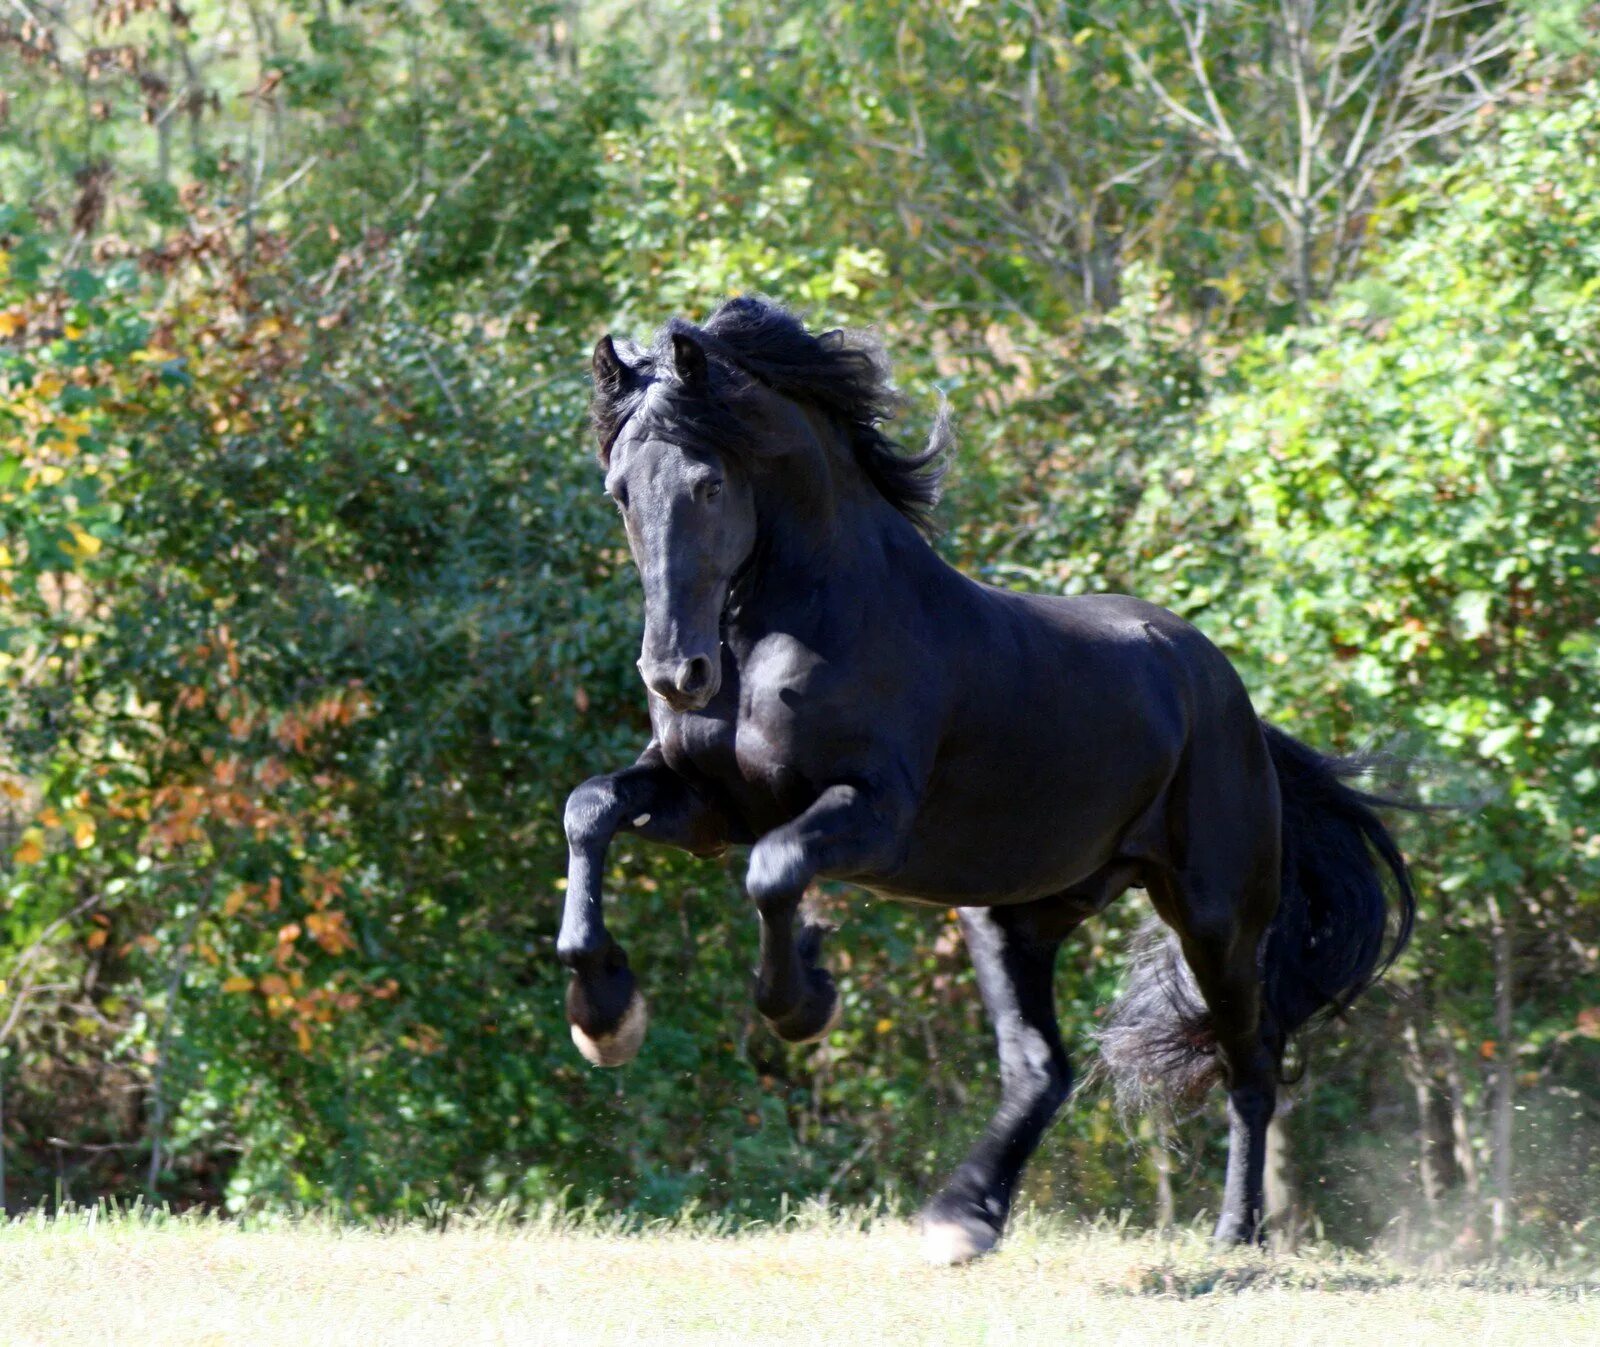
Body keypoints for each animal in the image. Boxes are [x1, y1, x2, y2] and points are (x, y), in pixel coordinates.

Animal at [553, 295, 1414, 1260]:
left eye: (707, 485)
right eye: (621, 491)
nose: (676, 674)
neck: (802, 623)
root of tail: (1233, 703)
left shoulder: (868, 815)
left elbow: (773, 870)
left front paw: (806, 998)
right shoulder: (708, 806)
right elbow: (589, 809)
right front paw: (604, 1013)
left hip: (1216, 918)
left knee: (1251, 1063)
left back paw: (1235, 1236)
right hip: (1013, 916)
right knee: (1044, 1069)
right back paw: (965, 1216)